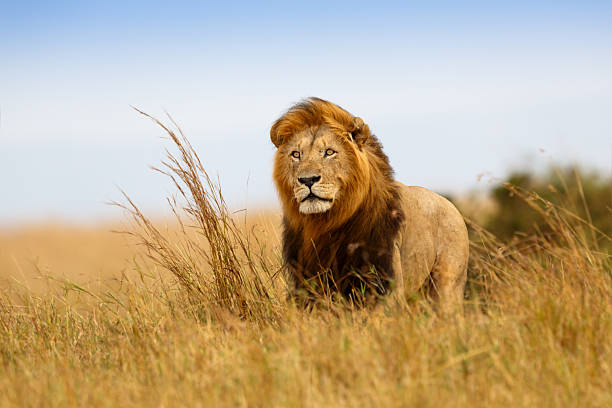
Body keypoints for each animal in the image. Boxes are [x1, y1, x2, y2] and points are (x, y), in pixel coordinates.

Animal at [272, 96, 468, 312]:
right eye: (296, 154)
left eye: (329, 152)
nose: (307, 180)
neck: (325, 223)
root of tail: (452, 206)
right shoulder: (306, 281)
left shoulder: (384, 281)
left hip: (447, 285)